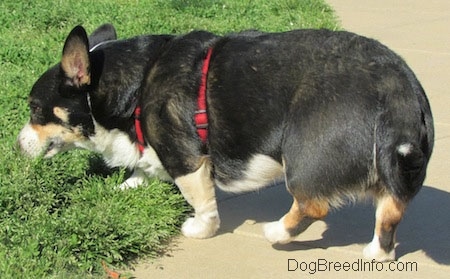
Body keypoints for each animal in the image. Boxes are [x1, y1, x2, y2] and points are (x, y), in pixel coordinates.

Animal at [17, 24, 432, 262]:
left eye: (35, 109)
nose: (18, 146)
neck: (134, 85)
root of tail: (400, 89)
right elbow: (143, 170)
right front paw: (127, 185)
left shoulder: (185, 158)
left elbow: (202, 202)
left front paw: (200, 229)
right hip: (393, 173)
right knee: (390, 210)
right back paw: (377, 253)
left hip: (302, 155)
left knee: (313, 204)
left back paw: (276, 232)